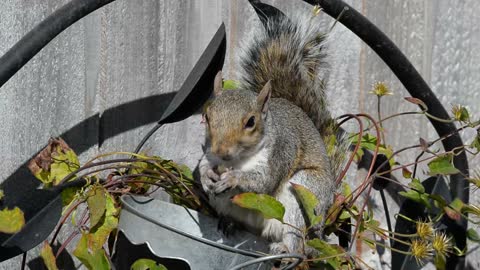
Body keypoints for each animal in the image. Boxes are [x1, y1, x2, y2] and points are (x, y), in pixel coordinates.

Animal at [198, 12, 338, 255]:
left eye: (251, 122)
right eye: (207, 116)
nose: (222, 152)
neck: (238, 159)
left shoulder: (281, 152)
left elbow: (264, 181)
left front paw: (234, 178)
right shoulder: (209, 151)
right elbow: (203, 165)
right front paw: (207, 177)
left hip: (305, 194)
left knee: (297, 240)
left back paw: (286, 250)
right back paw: (229, 223)